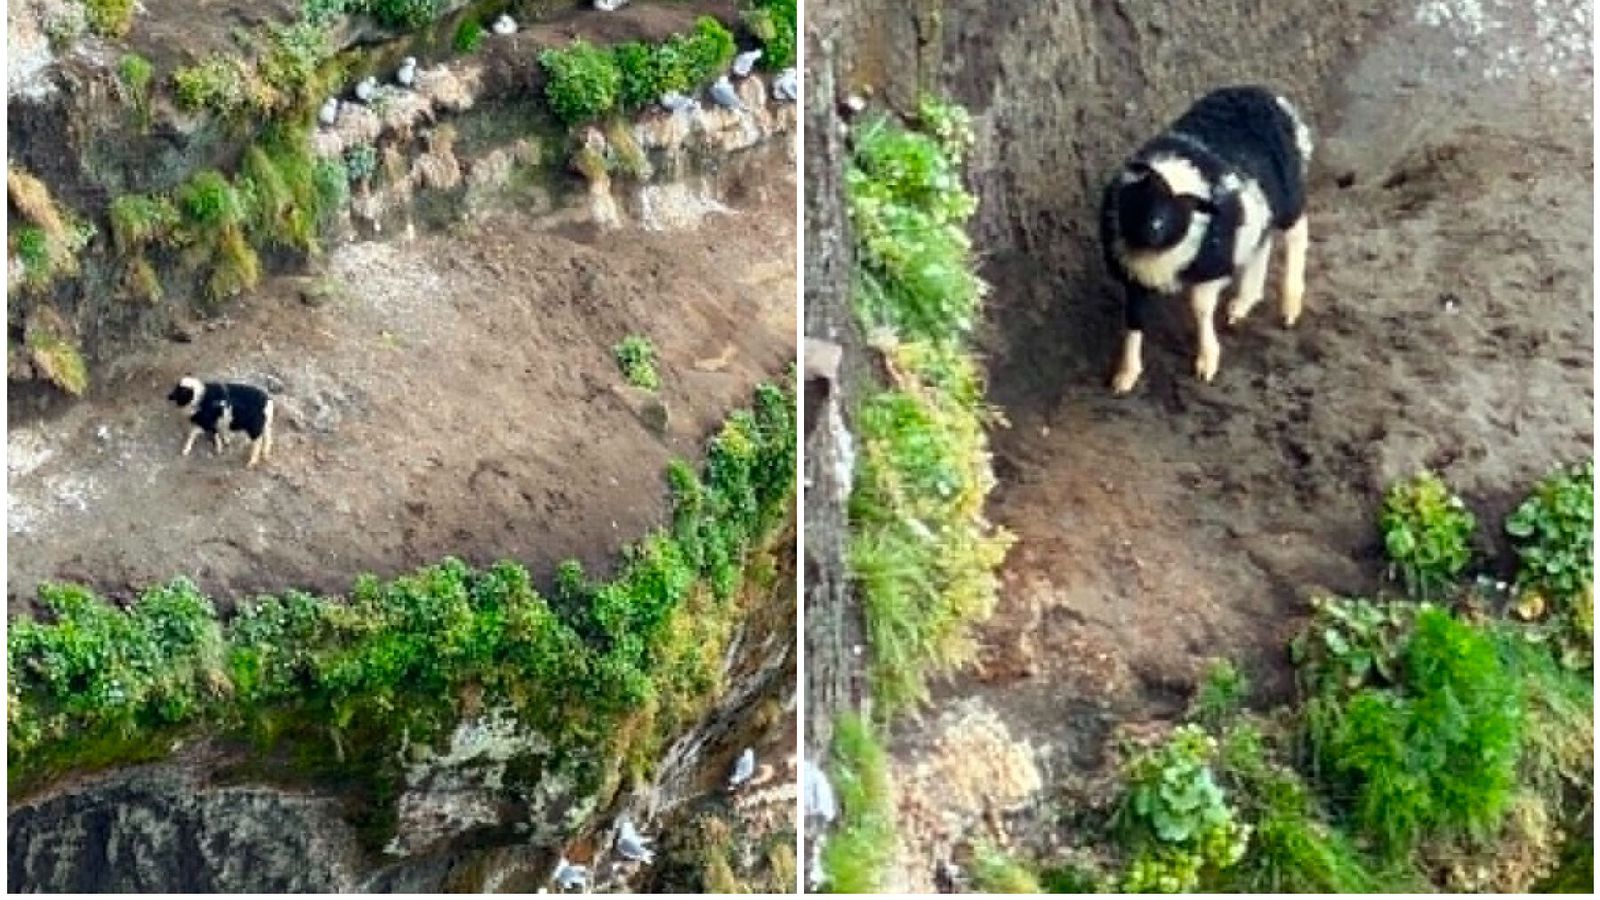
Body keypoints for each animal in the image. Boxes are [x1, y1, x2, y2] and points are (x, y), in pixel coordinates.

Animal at [1100, 85, 1314, 394]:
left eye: (1185, 208)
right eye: (1149, 192)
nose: (1153, 228)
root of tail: (1266, 94)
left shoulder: (1213, 267)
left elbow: (1199, 308)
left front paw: (1207, 360)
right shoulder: (1135, 276)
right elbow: (1134, 318)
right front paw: (1126, 374)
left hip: (1289, 195)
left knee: (1297, 234)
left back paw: (1290, 305)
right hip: (1263, 204)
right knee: (1261, 241)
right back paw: (1244, 302)